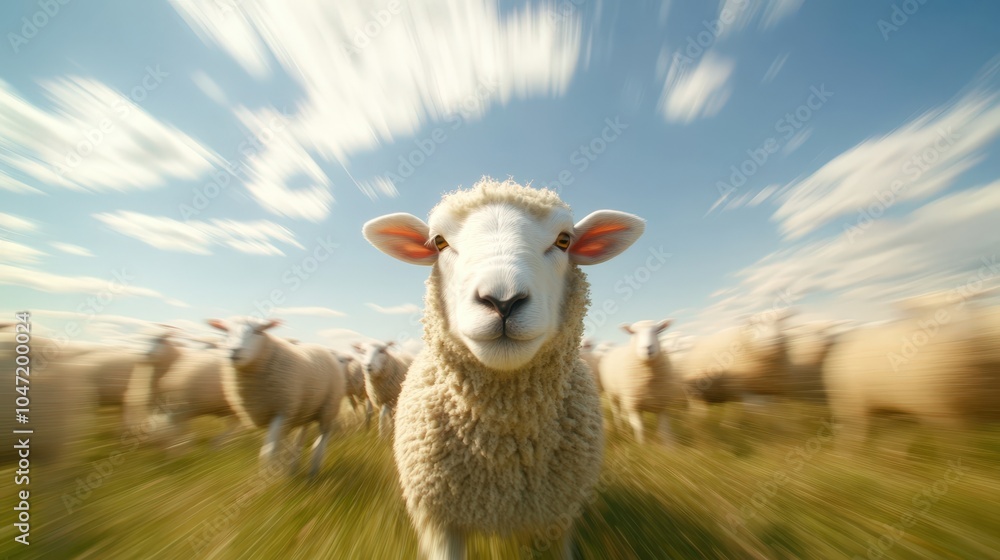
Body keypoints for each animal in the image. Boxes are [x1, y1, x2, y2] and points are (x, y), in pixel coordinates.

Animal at [209, 318, 345, 476]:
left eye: (258, 331)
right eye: (226, 332)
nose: (234, 351)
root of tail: (321, 348)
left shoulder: (282, 412)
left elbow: (268, 452)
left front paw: (268, 477)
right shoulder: (280, 415)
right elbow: (276, 448)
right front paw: (280, 472)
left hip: (329, 408)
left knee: (322, 438)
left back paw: (314, 469)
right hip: (307, 410)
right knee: (302, 435)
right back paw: (294, 466)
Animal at [363, 177, 645, 559]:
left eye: (564, 240)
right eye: (439, 242)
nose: (503, 301)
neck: (503, 449)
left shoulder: (558, 517)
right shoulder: (440, 521)